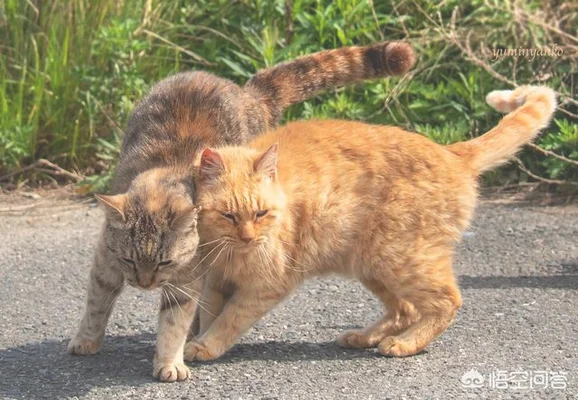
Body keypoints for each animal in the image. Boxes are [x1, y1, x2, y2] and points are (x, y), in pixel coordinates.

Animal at [183, 86, 552, 360]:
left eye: (260, 214)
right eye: (228, 216)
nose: (248, 238)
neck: (228, 250)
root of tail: (451, 152)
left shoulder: (267, 283)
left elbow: (231, 318)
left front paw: (206, 345)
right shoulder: (216, 279)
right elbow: (211, 312)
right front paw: (198, 340)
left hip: (400, 259)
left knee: (447, 300)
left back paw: (405, 343)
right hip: (373, 265)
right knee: (405, 310)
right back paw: (366, 337)